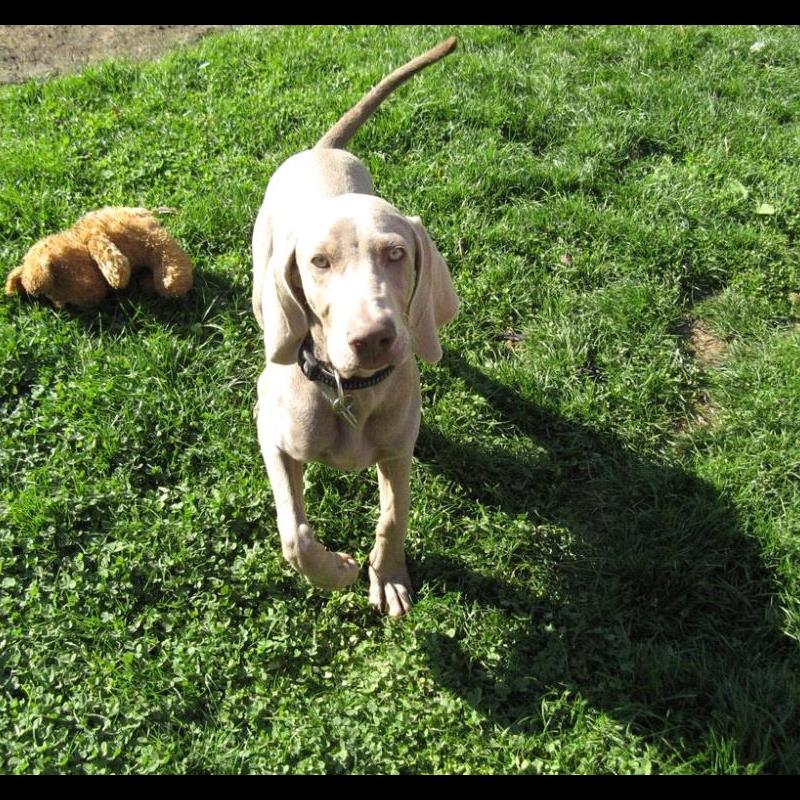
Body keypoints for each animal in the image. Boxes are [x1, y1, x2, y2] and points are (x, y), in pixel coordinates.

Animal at [252, 36, 459, 617]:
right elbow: (294, 534)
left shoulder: (397, 453)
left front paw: (386, 577)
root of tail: (320, 149)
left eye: (396, 254)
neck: (350, 391)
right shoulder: (272, 436)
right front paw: (336, 570)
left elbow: (392, 518)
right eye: (319, 262)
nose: (374, 340)